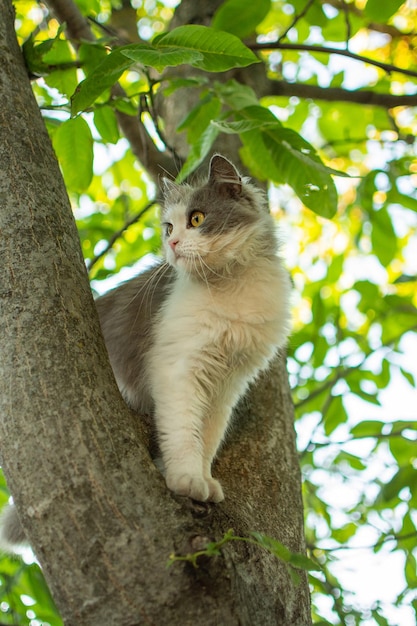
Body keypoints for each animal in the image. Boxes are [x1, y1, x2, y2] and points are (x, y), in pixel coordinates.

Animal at [0, 154, 290, 548]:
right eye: (168, 228)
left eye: (196, 219)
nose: (173, 244)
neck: (230, 284)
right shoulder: (179, 367)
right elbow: (184, 431)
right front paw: (186, 479)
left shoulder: (227, 382)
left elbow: (208, 437)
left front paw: (204, 478)